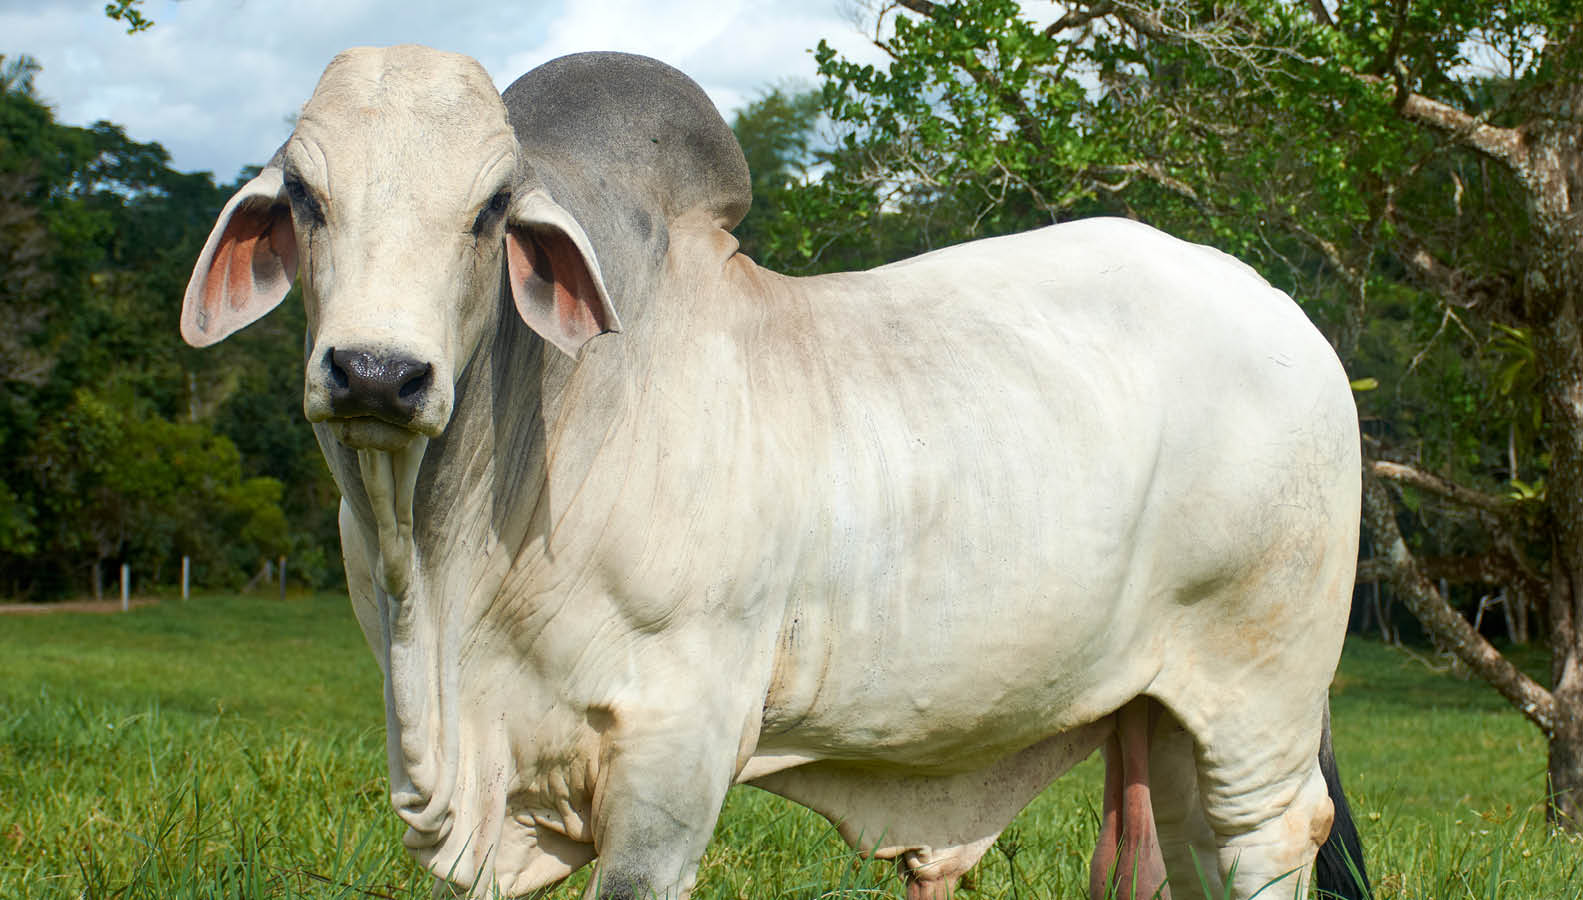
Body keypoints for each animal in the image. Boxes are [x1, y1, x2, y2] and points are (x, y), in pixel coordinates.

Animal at [179, 47, 1367, 898]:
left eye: (487, 211)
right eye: (305, 199)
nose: (377, 372)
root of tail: (1286, 316)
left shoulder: (675, 750)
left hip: (1258, 691)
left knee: (1263, 840)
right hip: (1161, 713)